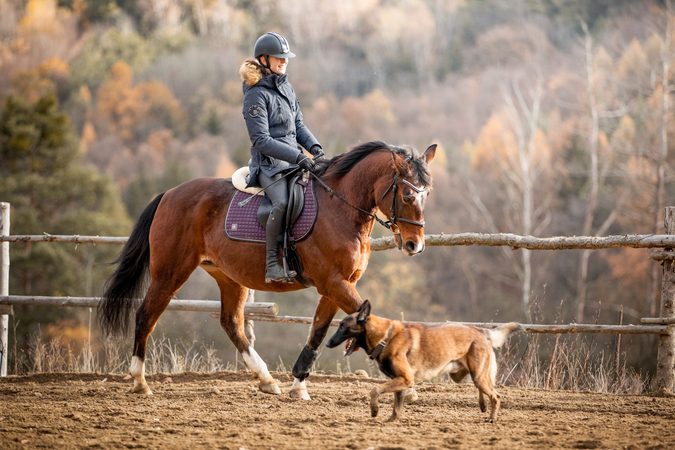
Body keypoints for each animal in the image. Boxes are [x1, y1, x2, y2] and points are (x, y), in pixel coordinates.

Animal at [100, 140, 438, 398]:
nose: (415, 245)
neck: (341, 208)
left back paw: (266, 380)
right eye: (408, 195)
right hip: (170, 272)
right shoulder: (334, 283)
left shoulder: (336, 285)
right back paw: (140, 382)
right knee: (146, 314)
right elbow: (369, 321)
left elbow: (317, 331)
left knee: (232, 323)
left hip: (229, 277)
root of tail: (168, 194)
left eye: (428, 194)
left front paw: (298, 385)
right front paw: (405, 386)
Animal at [328, 302, 524, 422]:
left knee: (496, 396)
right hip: (464, 375)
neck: (386, 338)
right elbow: (396, 406)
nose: (328, 343)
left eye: (343, 327)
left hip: (478, 375)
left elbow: (375, 389)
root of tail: (480, 331)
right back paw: (483, 406)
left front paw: (374, 410)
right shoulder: (400, 382)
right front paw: (391, 421)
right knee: (486, 390)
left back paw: (492, 417)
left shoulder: (405, 379)